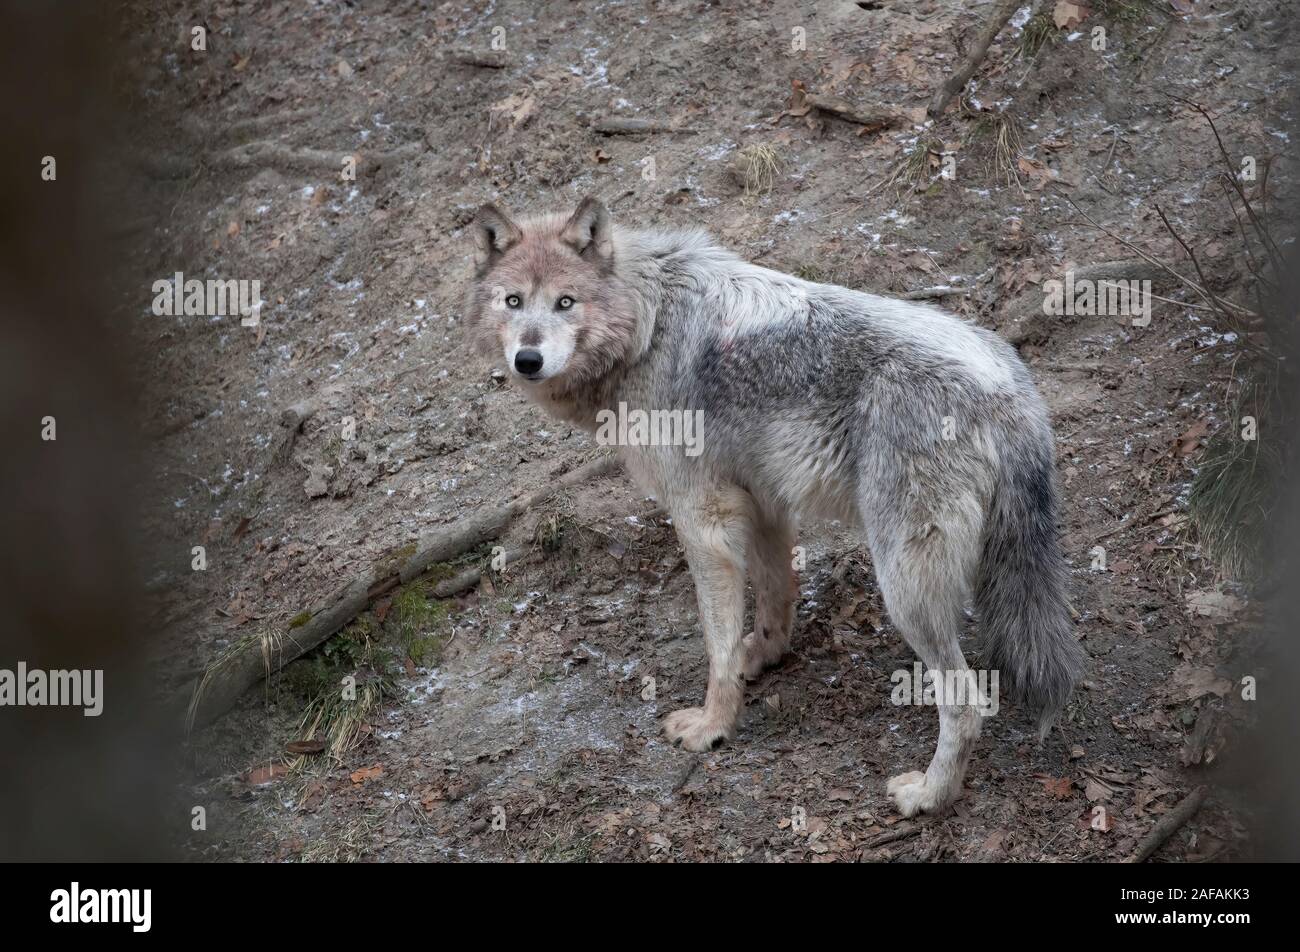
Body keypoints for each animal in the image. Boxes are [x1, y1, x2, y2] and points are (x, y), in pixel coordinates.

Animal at [464, 197, 1085, 816]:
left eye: (565, 302)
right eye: (513, 301)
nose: (527, 359)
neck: (648, 325)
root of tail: (1010, 392)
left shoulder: (703, 519)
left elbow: (716, 644)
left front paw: (713, 725)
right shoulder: (762, 501)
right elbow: (773, 597)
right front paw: (761, 658)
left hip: (904, 586)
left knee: (966, 702)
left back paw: (929, 795)